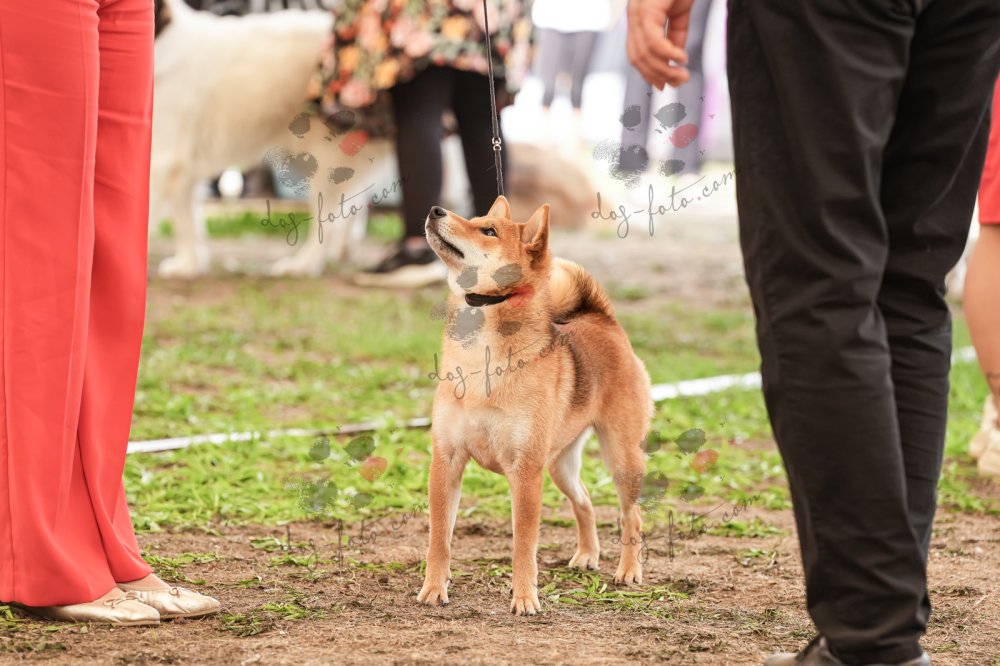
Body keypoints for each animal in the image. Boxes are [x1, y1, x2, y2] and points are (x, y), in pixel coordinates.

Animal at [418, 196, 652, 615]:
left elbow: (523, 545)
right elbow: (439, 538)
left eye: (488, 230)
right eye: (475, 218)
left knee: (632, 516)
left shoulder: (525, 472)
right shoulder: (447, 460)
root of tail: (604, 321)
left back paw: (628, 570)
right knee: (585, 503)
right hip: (559, 466)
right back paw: (587, 554)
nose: (435, 211)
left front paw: (525, 596)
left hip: (621, 458)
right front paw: (434, 587)